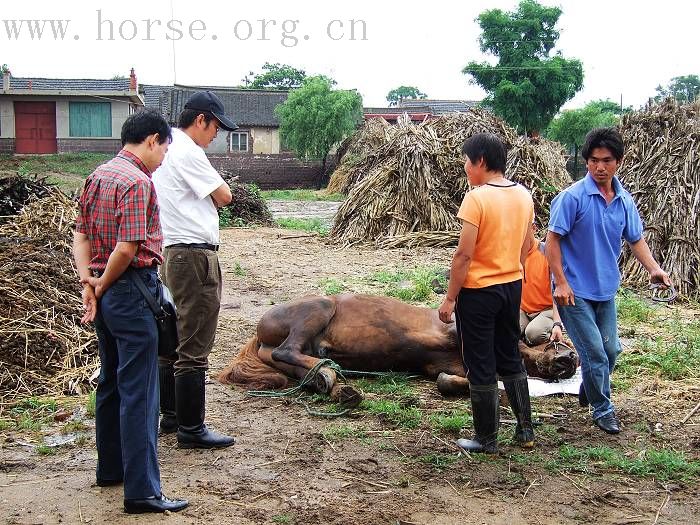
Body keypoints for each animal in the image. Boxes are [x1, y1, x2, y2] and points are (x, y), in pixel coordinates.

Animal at [216, 294, 576, 406]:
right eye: (553, 340)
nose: (569, 359)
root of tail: (259, 335)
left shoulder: (442, 367)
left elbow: (448, 380)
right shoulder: (453, 331)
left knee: (298, 365)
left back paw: (330, 381)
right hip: (318, 308)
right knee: (288, 351)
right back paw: (332, 375)